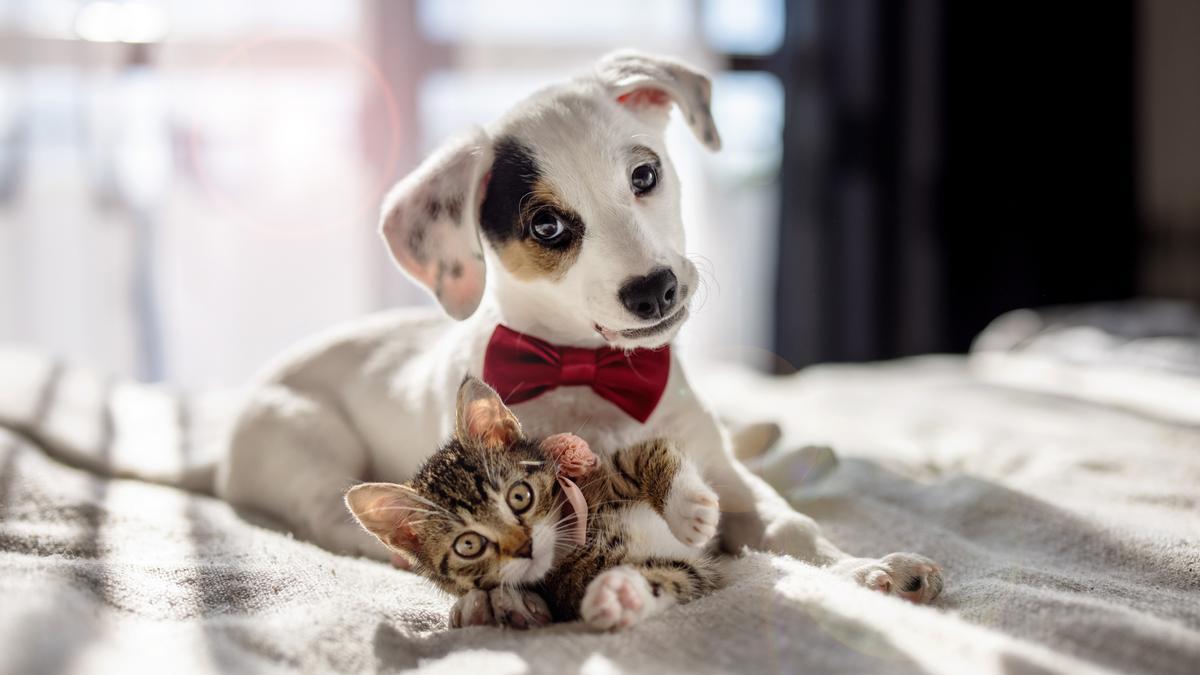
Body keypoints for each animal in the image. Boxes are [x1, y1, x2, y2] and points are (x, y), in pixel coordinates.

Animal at [348, 374, 720, 629]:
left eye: (519, 496)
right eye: (468, 545)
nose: (525, 547)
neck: (576, 539)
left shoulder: (606, 470)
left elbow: (651, 451)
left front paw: (692, 510)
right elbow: (673, 576)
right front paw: (619, 596)